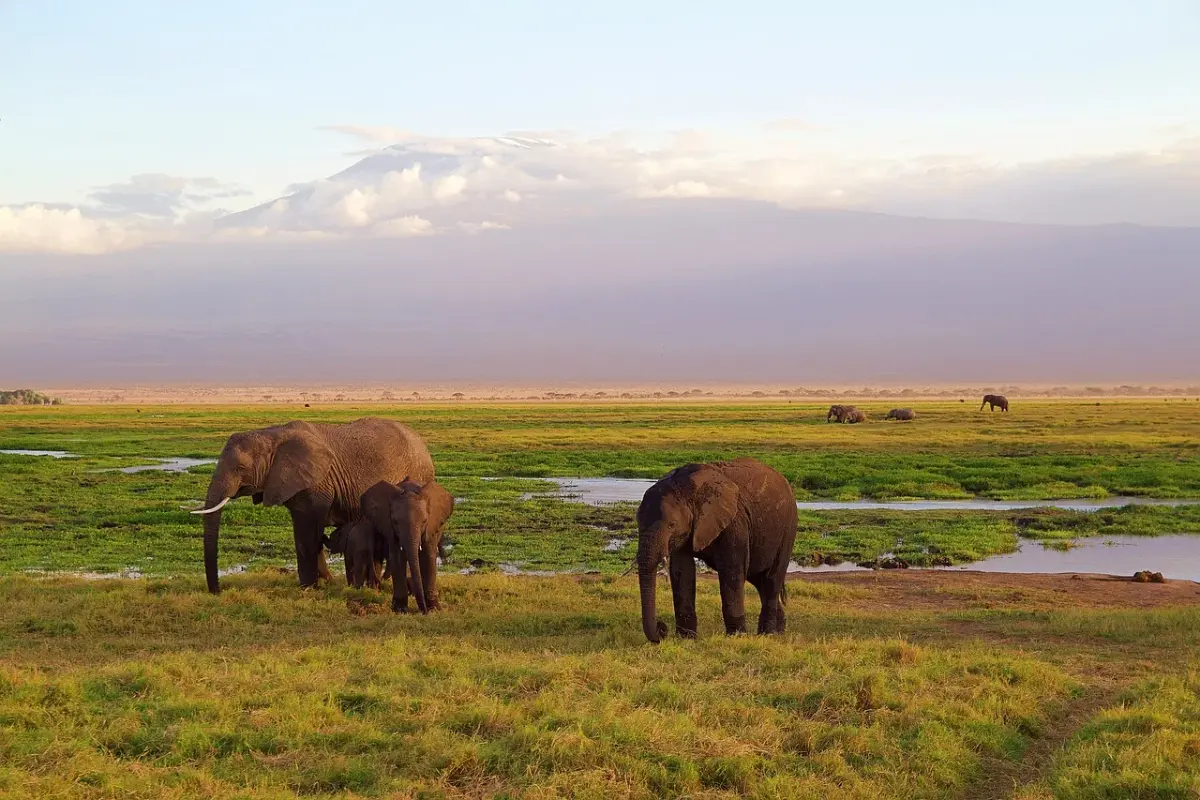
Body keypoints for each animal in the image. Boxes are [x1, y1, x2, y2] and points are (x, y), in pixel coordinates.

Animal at [190, 417, 434, 594]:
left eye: (240, 468)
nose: (217, 591)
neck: (271, 435)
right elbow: (305, 535)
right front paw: (325, 581)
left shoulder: (315, 484)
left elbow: (307, 533)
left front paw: (308, 588)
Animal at [361, 479, 455, 614]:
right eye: (395, 522)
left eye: (424, 521)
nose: (423, 611)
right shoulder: (390, 529)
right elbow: (397, 558)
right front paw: (400, 610)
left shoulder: (431, 527)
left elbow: (428, 557)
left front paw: (434, 609)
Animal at [636, 457, 799, 643]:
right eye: (637, 521)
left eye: (671, 525)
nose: (662, 629)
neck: (687, 488)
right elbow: (682, 570)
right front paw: (687, 639)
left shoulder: (735, 522)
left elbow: (731, 570)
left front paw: (736, 637)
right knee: (759, 580)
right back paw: (779, 632)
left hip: (788, 529)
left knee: (772, 578)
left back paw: (768, 634)